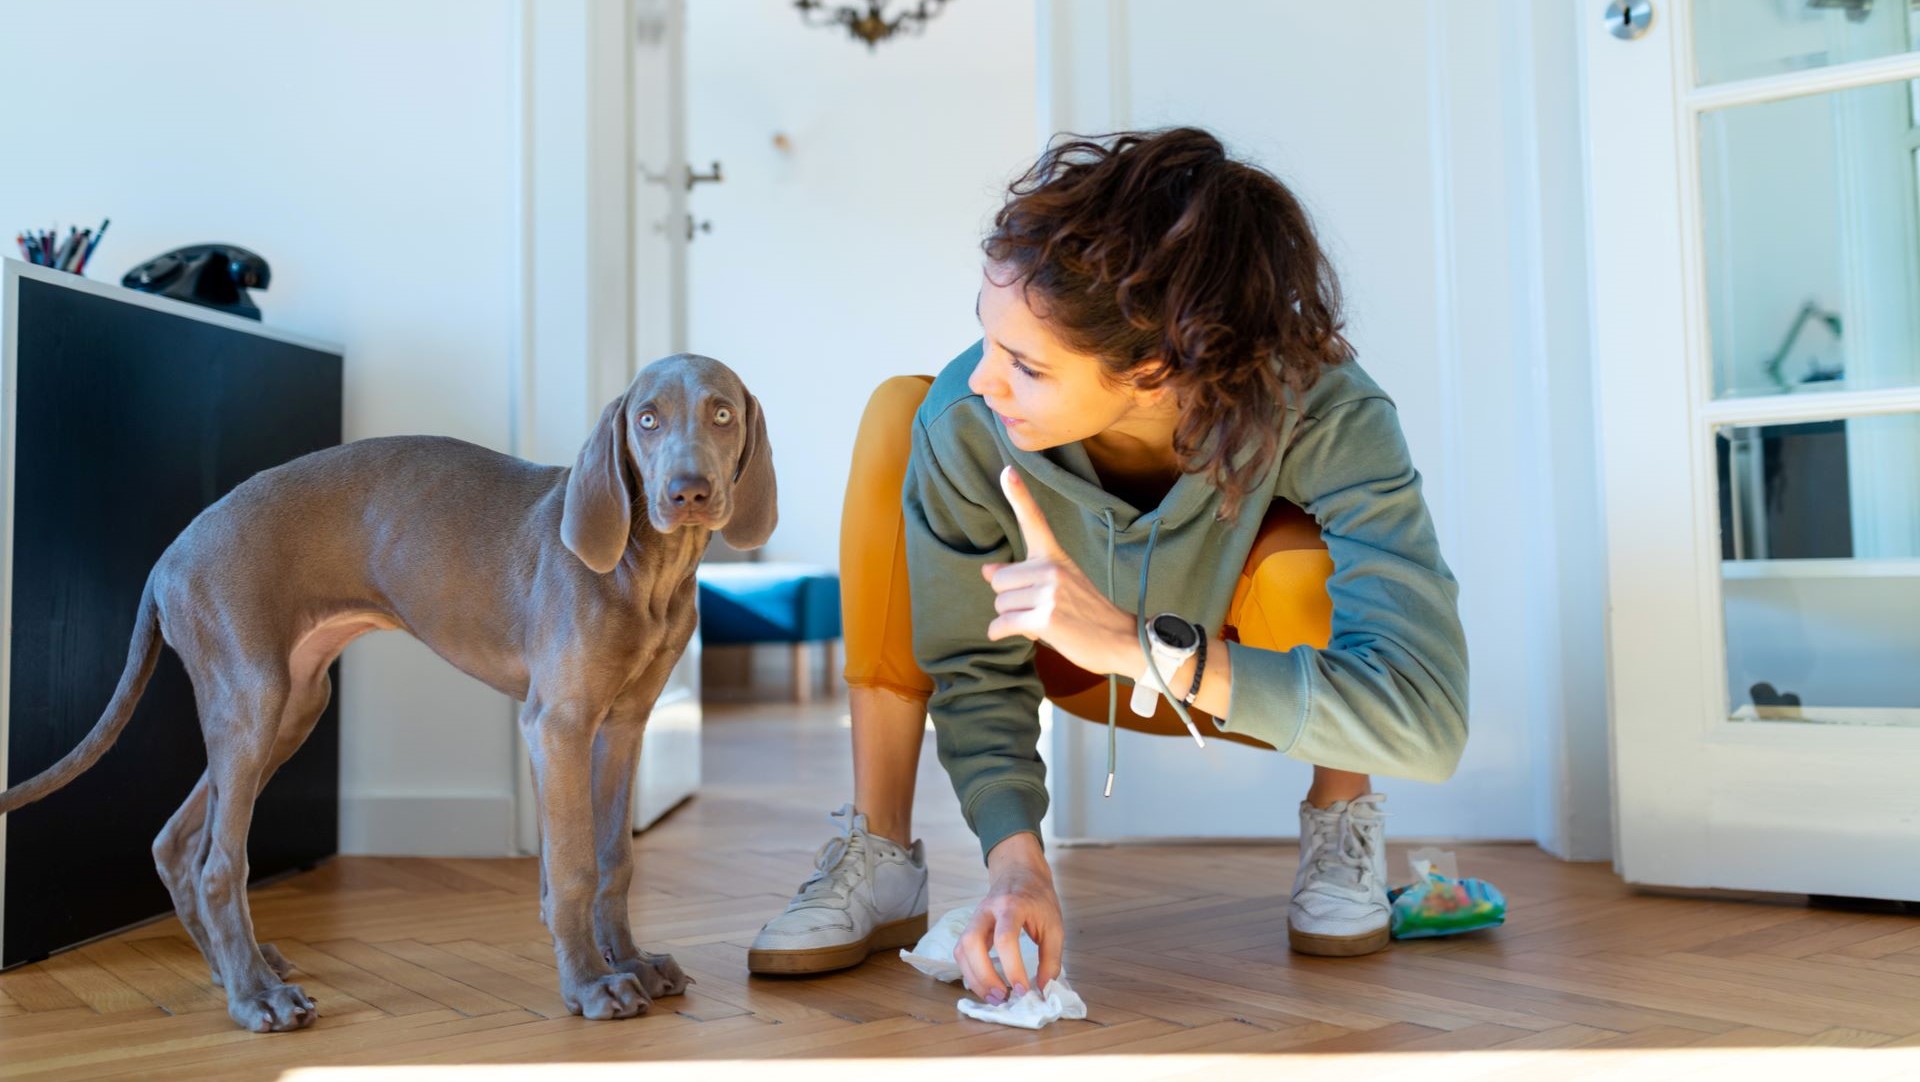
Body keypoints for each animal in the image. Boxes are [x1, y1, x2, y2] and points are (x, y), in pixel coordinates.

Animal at [0, 351, 771, 1028]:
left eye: (723, 412)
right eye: (646, 419)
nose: (688, 492)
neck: (648, 572)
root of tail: (168, 556)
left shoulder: (623, 727)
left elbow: (614, 858)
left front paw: (632, 963)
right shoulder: (558, 723)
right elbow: (575, 865)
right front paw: (589, 984)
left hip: (289, 707)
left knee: (176, 843)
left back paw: (235, 969)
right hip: (251, 702)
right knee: (220, 863)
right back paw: (255, 998)